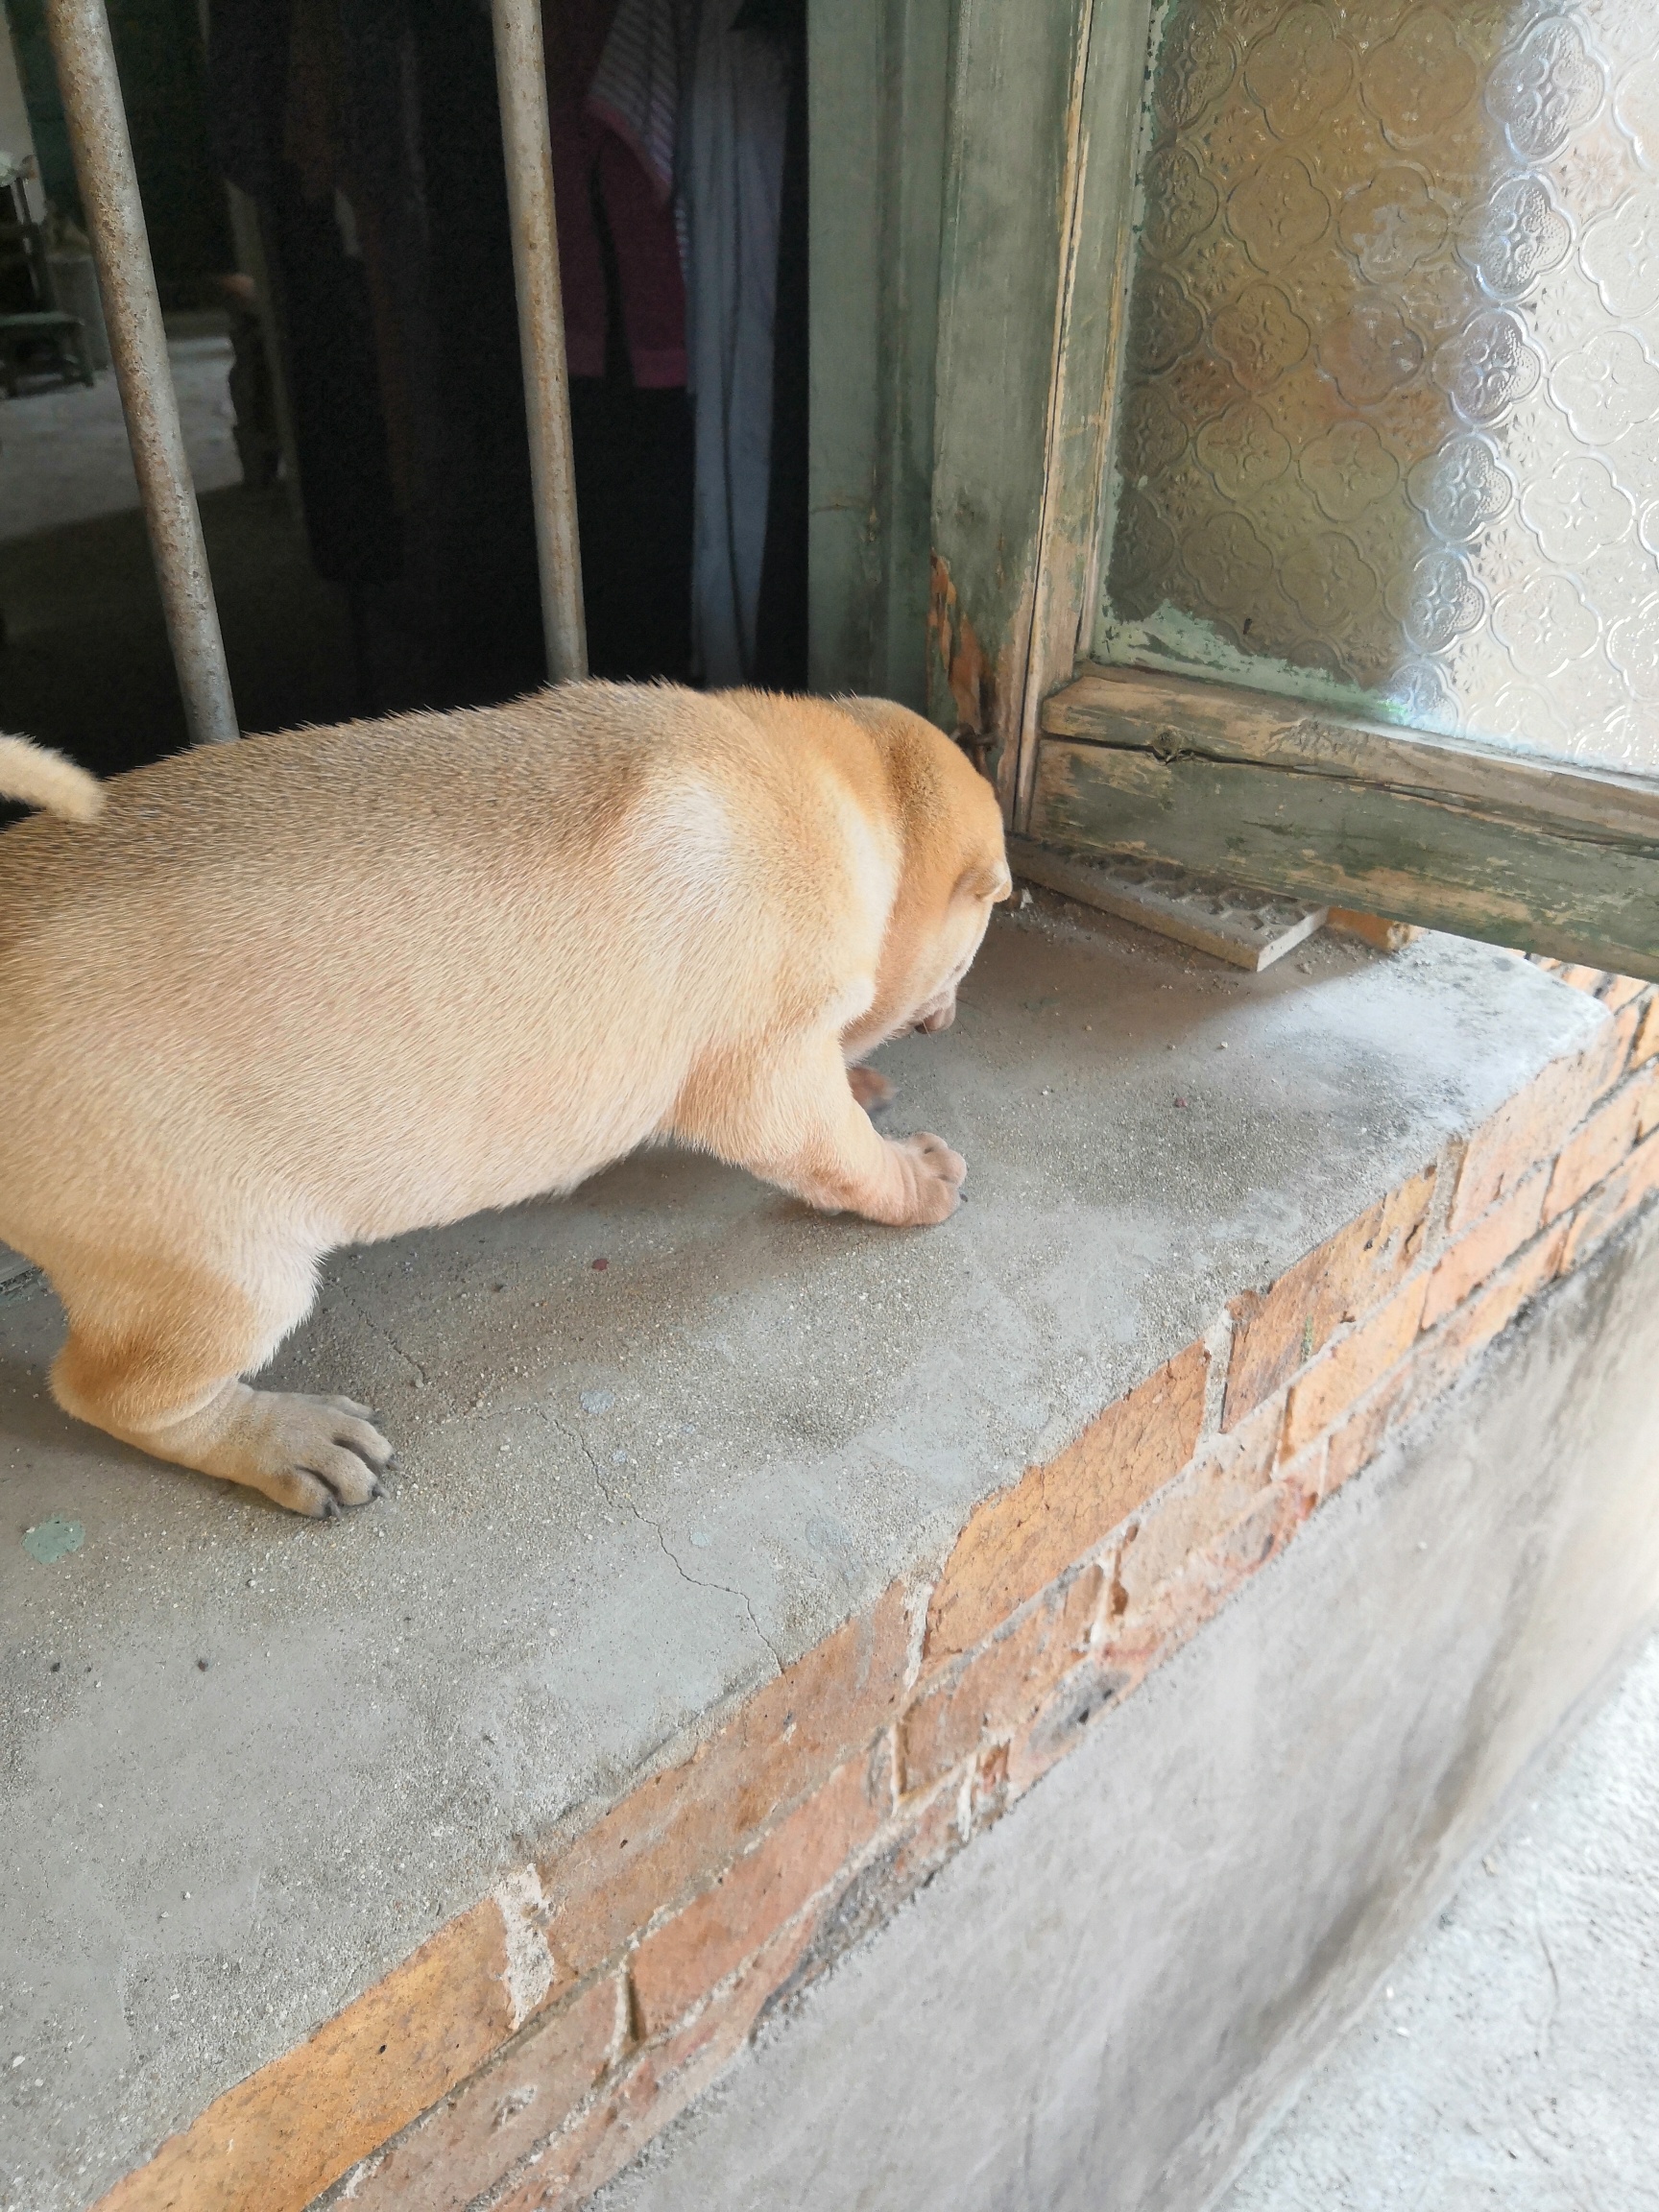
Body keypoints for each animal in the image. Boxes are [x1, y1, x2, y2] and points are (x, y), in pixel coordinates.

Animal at [0, 689, 1013, 1512]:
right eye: (971, 951)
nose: (953, 1014)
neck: (854, 788)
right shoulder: (769, 1068)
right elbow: (841, 1152)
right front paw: (920, 1178)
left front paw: (866, 1084)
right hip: (215, 1265)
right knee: (113, 1392)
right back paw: (289, 1441)